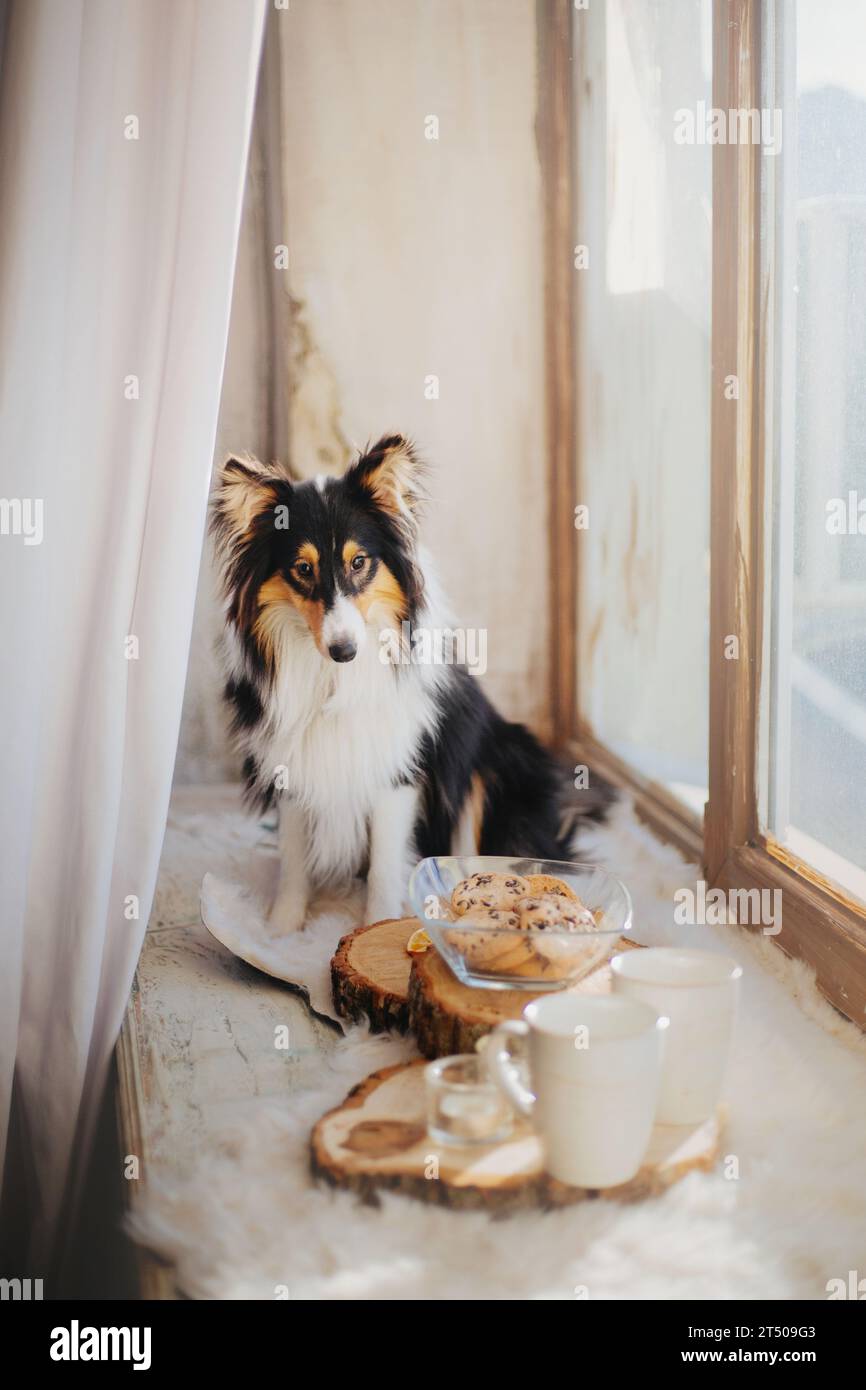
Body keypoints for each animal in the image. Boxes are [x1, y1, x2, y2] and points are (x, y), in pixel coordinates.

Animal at [209, 433, 608, 934]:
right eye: (302, 569)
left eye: (359, 562)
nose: (344, 650)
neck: (333, 677)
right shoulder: (292, 764)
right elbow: (294, 861)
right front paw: (279, 932)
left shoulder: (398, 769)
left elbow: (384, 864)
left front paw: (377, 924)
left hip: (496, 764)